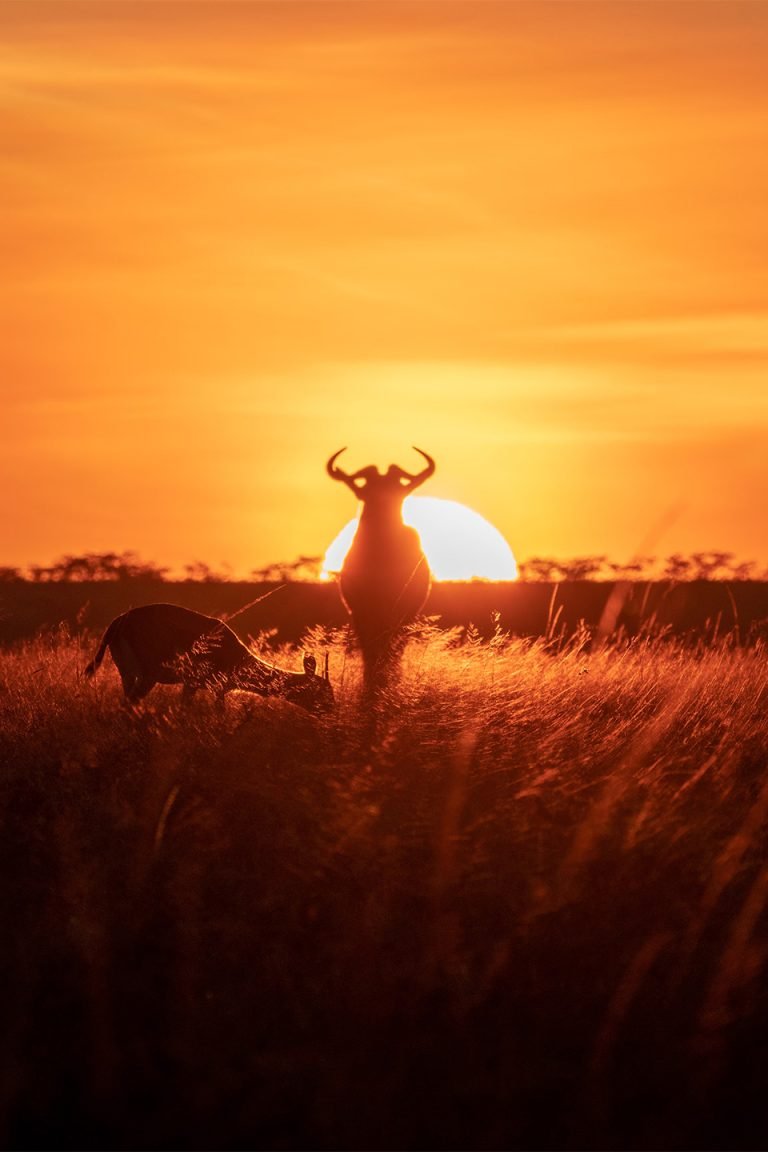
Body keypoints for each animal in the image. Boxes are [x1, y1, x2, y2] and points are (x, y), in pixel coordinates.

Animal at [84, 603, 334, 711]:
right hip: (147, 677)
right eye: (324, 691)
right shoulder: (217, 688)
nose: (332, 713)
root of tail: (118, 621)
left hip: (127, 675)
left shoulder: (191, 685)